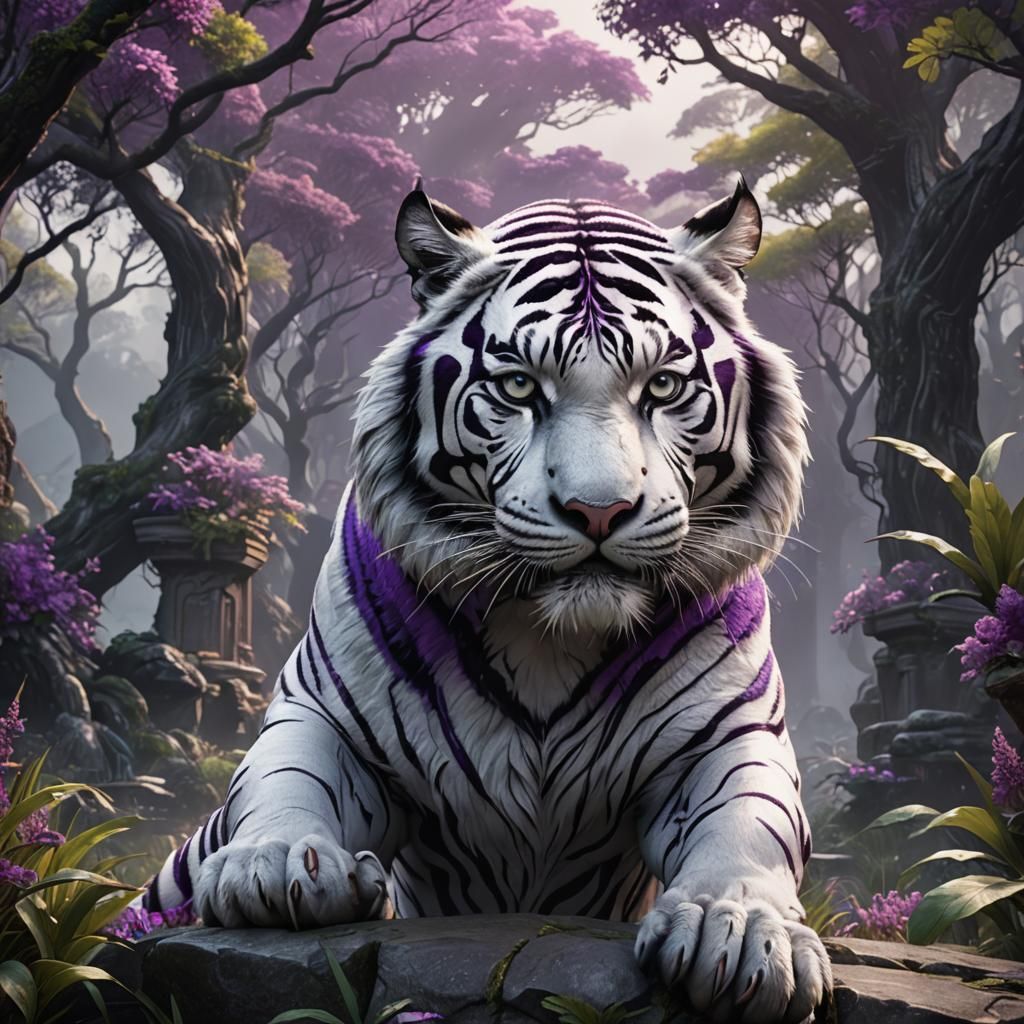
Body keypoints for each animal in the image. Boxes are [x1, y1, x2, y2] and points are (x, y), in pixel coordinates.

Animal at [144, 180, 831, 1023]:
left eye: (663, 387)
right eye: (518, 387)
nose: (599, 511)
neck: (550, 634)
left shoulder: (728, 733)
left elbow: (748, 822)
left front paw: (737, 932)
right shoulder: (326, 714)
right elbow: (287, 779)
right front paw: (275, 867)